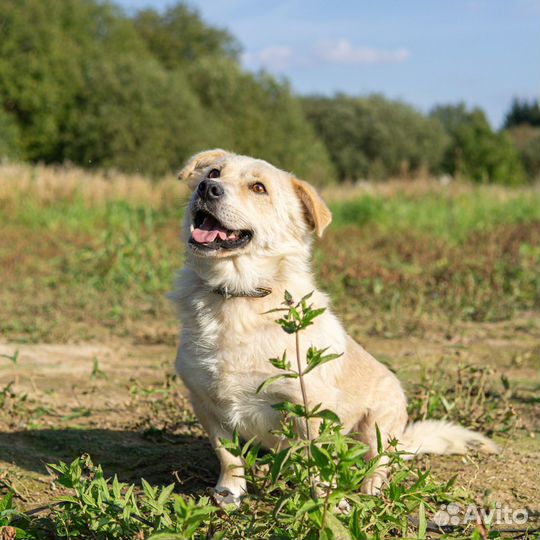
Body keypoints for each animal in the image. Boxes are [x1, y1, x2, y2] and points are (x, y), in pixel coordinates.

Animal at [170, 151, 498, 506]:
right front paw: (229, 493)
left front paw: (328, 503)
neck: (238, 297)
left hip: (379, 423)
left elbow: (317, 463)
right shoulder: (205, 403)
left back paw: (370, 488)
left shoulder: (310, 408)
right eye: (214, 172)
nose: (207, 188)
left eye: (259, 188)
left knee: (378, 462)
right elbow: (228, 455)